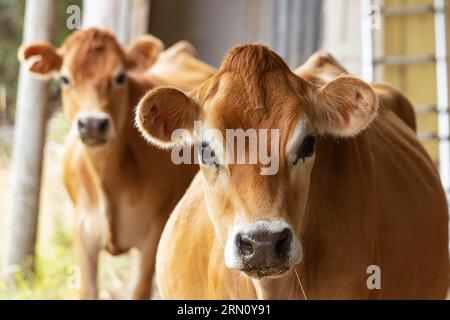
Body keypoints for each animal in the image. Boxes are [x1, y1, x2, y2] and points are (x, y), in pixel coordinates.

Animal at [20, 28, 216, 298]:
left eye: (120, 77)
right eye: (65, 79)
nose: (93, 123)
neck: (108, 179)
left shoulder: (153, 232)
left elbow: (138, 289)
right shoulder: (82, 231)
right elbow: (88, 289)